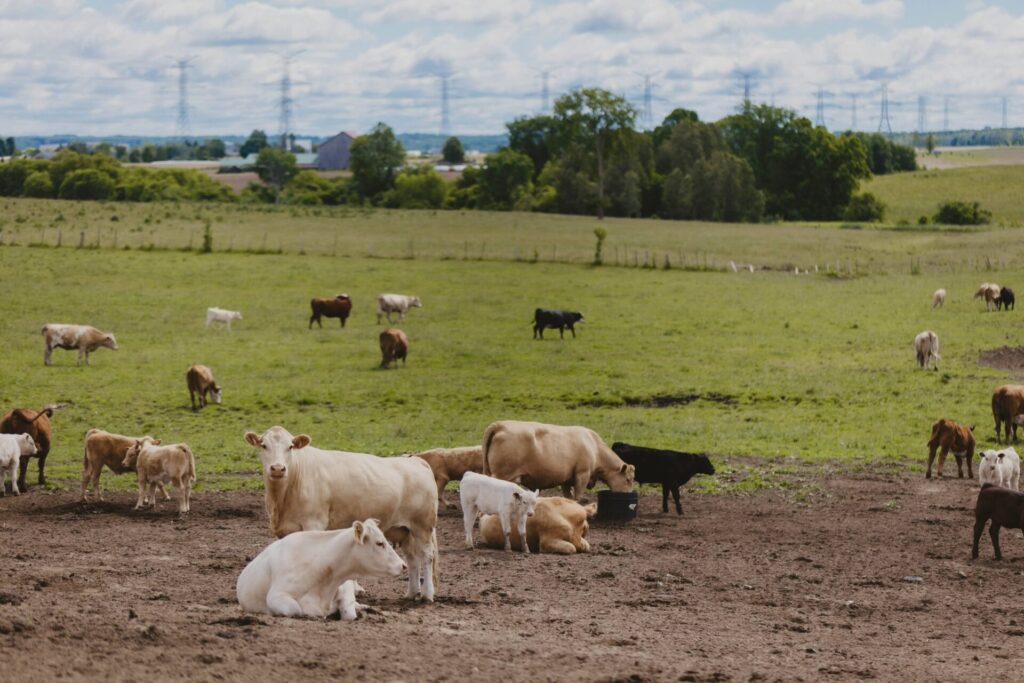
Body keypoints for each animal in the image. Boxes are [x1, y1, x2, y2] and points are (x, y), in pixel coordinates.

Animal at [236, 519, 406, 619]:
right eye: (379, 543)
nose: (403, 565)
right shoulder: (276, 596)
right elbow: (296, 610)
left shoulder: (345, 588)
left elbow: (349, 612)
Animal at [243, 426, 439, 602]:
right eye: (263, 445)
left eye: (290, 446)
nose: (278, 468)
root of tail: (416, 461)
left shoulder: (314, 524)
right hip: (403, 530)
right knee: (412, 559)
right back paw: (411, 593)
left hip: (423, 525)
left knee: (427, 556)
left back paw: (427, 595)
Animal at [482, 420, 636, 502]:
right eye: (628, 479)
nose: (629, 495)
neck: (594, 447)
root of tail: (501, 425)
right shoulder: (582, 474)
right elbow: (578, 497)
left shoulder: (566, 480)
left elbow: (568, 497)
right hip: (502, 475)